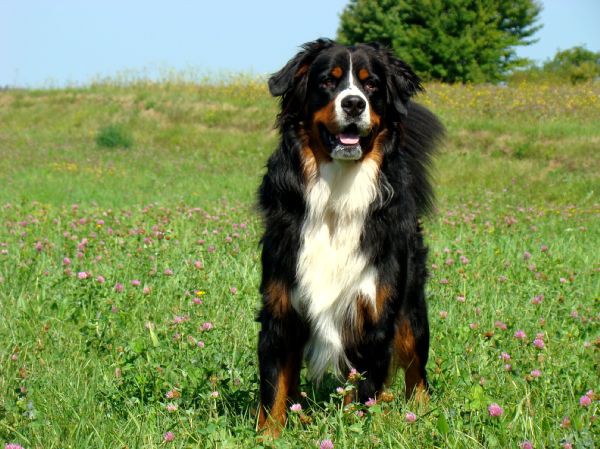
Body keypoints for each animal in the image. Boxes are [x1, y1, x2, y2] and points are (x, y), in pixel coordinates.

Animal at [255, 38, 442, 434]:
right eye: (328, 80)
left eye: (371, 85)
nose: (354, 103)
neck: (337, 196)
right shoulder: (280, 308)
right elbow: (274, 386)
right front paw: (268, 435)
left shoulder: (375, 314)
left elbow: (366, 391)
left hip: (411, 310)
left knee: (416, 371)